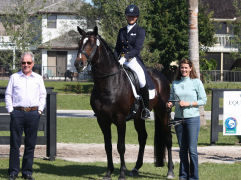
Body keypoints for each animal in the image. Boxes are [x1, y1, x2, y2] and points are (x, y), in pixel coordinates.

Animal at [73, 25, 173, 180]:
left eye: (91, 44)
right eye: (79, 43)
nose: (79, 64)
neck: (108, 82)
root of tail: (162, 76)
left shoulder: (120, 119)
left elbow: (121, 146)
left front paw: (121, 173)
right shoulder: (102, 120)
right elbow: (108, 146)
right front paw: (109, 172)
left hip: (163, 111)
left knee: (168, 137)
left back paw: (170, 171)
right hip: (139, 117)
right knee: (143, 137)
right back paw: (136, 168)